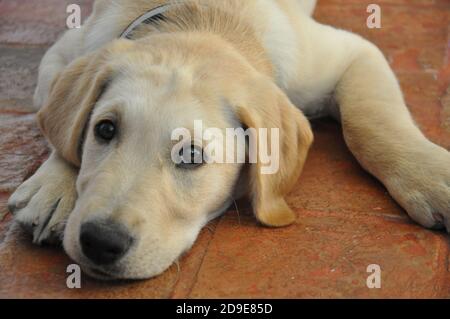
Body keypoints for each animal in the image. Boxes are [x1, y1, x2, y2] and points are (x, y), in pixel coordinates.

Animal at [7, 0, 450, 280]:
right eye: (104, 130)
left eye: (190, 155)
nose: (100, 242)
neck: (207, 16)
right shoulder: (65, 52)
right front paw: (54, 186)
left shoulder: (354, 51)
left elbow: (371, 120)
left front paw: (431, 178)